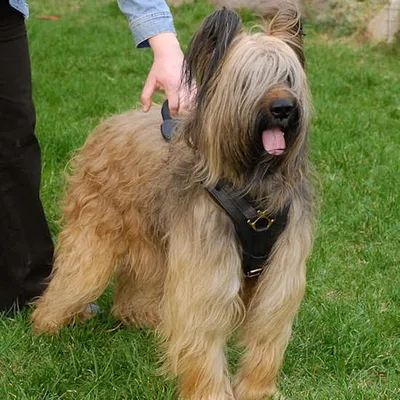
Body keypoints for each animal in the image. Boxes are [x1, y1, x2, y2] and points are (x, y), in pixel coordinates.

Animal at [32, 7, 314, 400]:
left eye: (287, 77)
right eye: (248, 80)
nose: (284, 108)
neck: (252, 183)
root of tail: (113, 121)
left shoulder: (280, 274)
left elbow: (266, 337)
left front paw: (257, 391)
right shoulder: (205, 270)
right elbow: (202, 336)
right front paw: (212, 393)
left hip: (152, 240)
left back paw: (138, 315)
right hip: (94, 235)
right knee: (72, 277)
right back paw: (47, 323)